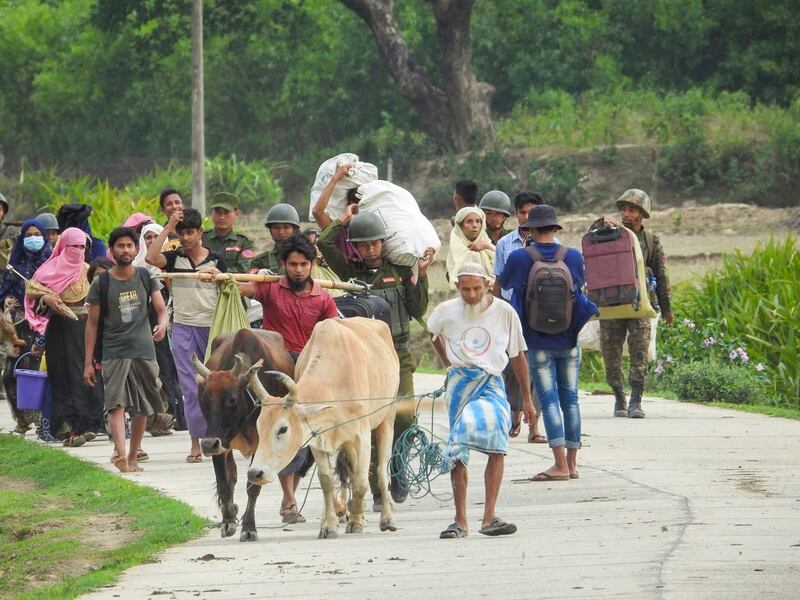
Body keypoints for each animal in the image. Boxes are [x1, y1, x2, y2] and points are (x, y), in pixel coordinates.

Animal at [247, 318, 400, 540]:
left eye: (283, 429)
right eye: (259, 428)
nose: (255, 473)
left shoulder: (361, 435)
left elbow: (362, 481)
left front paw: (355, 522)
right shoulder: (317, 440)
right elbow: (327, 480)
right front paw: (329, 525)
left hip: (387, 418)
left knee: (380, 471)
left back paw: (386, 519)